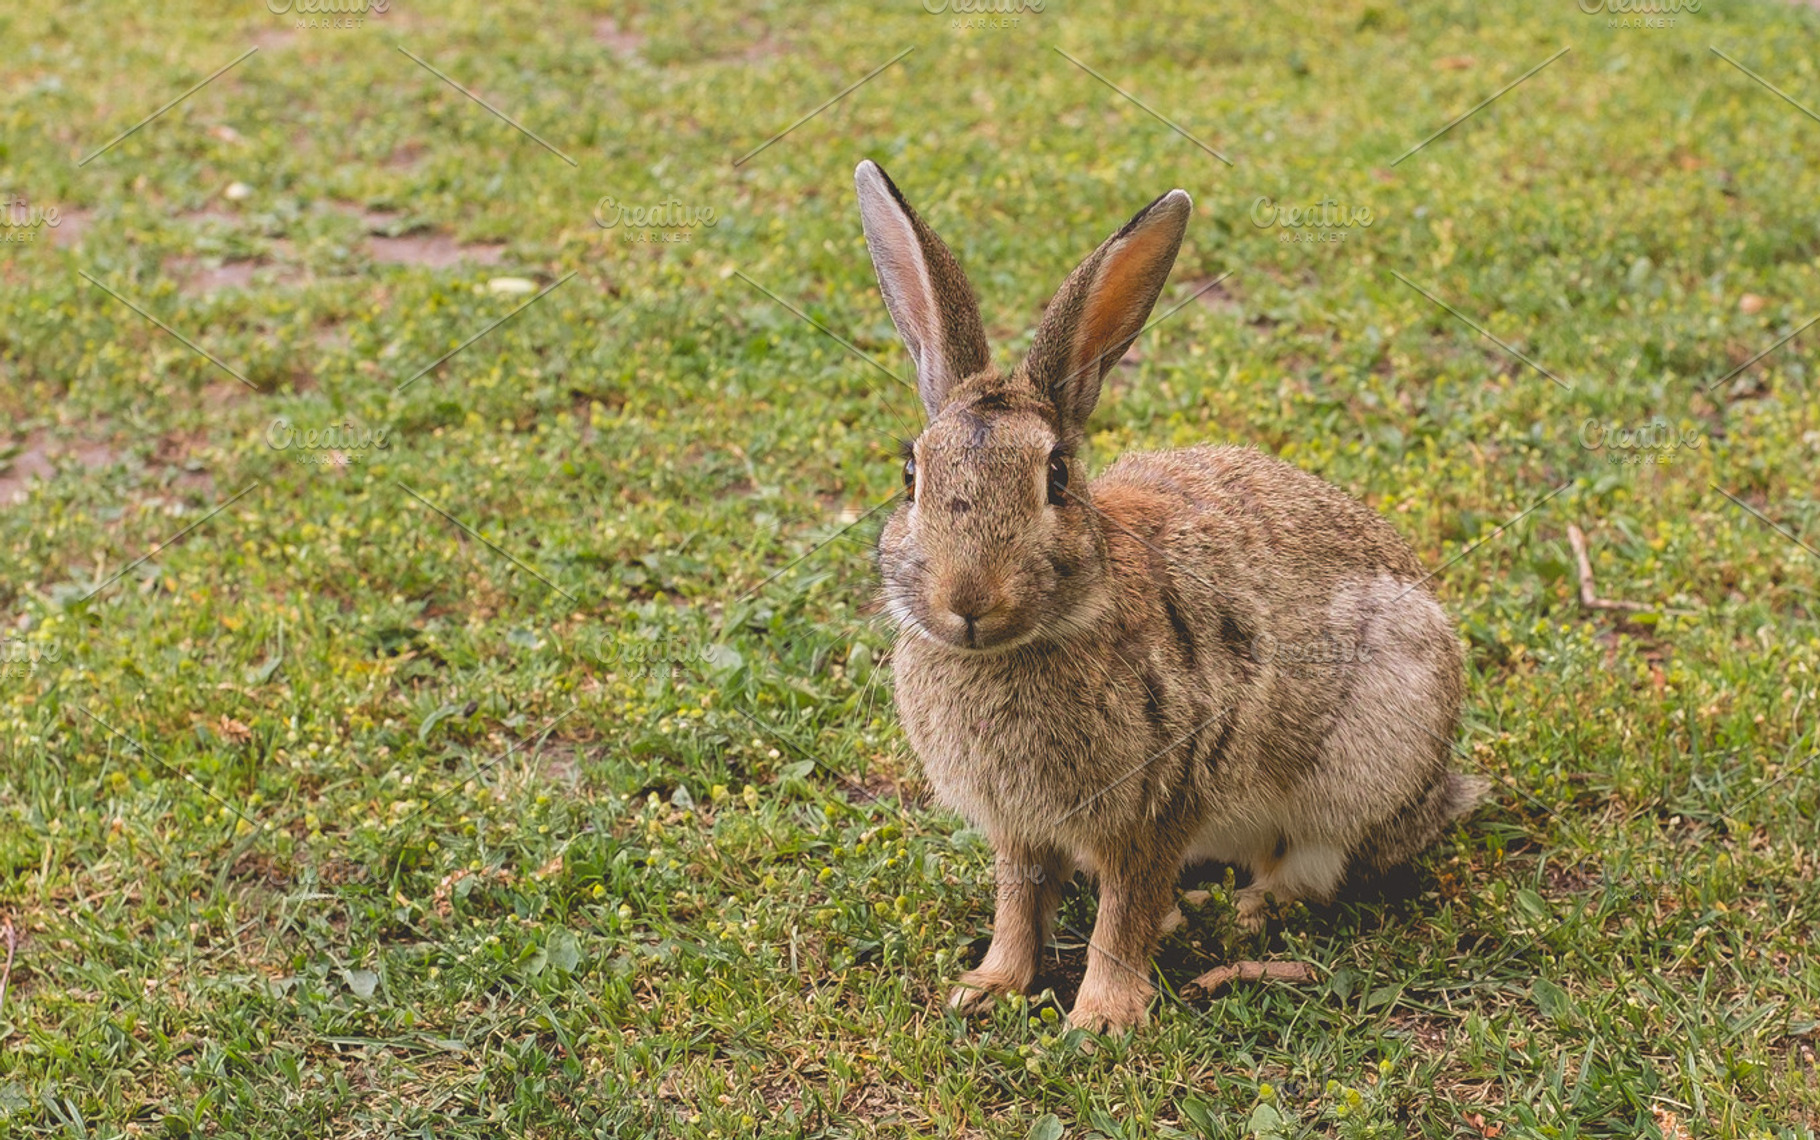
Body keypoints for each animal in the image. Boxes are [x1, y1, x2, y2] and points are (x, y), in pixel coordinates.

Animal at [853, 159, 1486, 1035]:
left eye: (1056, 477)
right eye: (911, 473)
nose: (968, 598)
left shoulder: (1159, 802)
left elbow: (1124, 912)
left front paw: (1102, 1019)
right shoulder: (1018, 827)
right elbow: (1018, 903)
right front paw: (990, 987)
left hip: (1371, 752)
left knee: (1317, 867)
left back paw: (1245, 912)